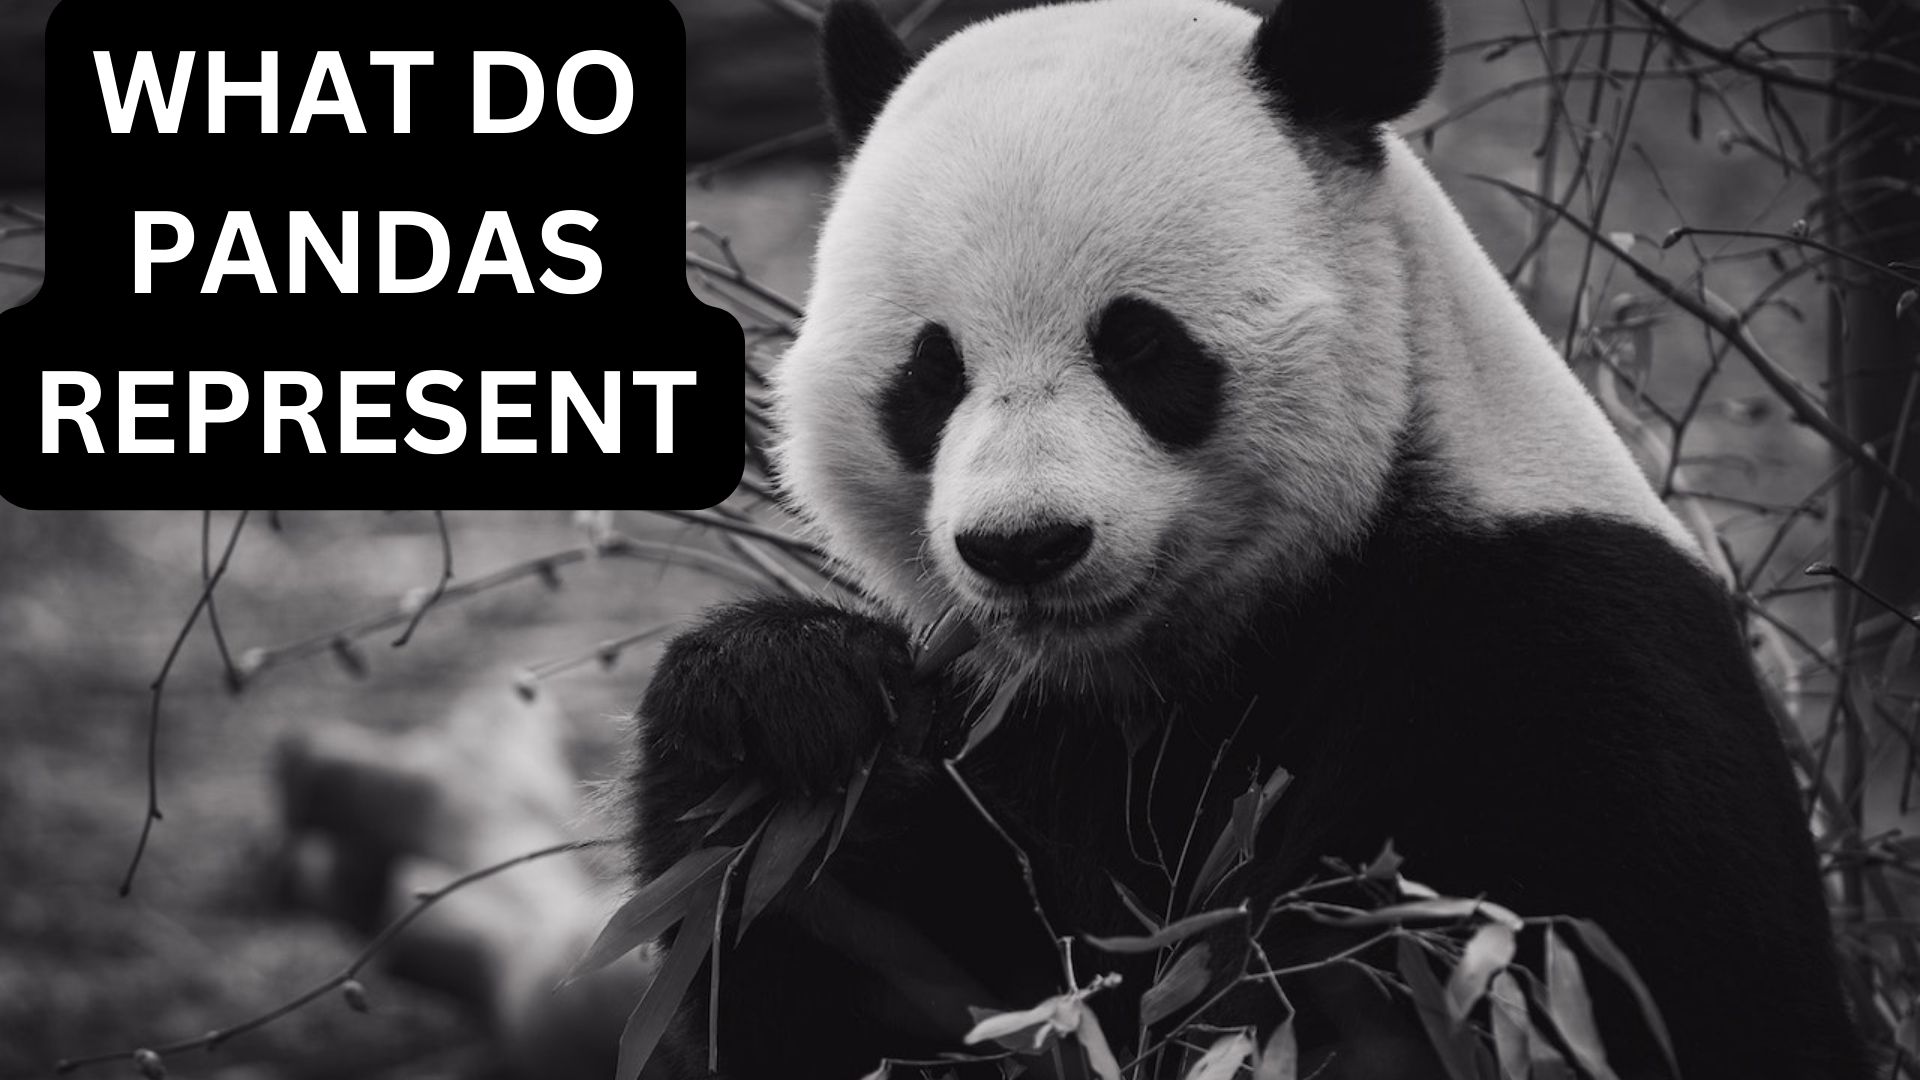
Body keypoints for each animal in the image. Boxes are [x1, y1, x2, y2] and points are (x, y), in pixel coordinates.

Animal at [637, 0, 1866, 1077]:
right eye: (931, 374)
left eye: (1140, 346)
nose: (1026, 546)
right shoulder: (1017, 730)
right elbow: (878, 991)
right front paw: (785, 698)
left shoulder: (1558, 657)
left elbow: (1542, 978)